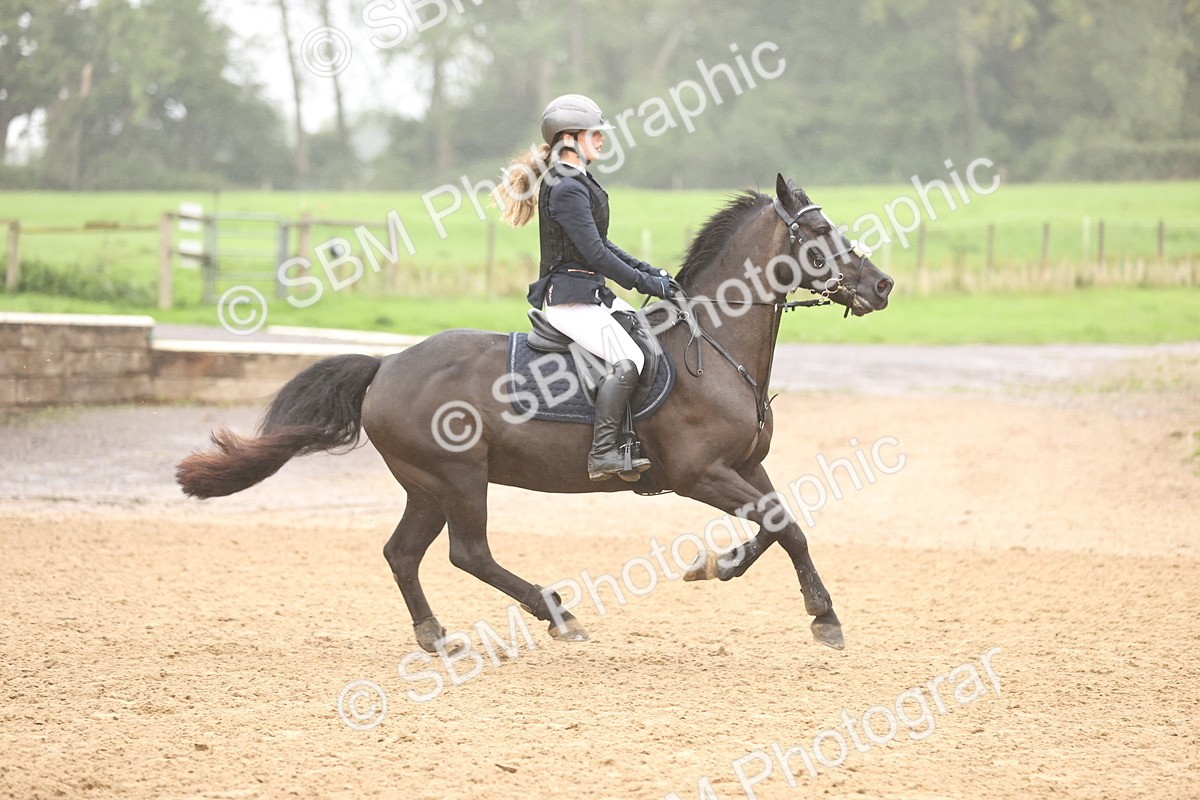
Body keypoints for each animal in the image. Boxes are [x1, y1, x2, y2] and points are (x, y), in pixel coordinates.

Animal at [176, 174, 894, 652]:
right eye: (820, 232)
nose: (882, 285)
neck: (714, 345)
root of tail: (387, 366)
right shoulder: (700, 473)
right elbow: (782, 525)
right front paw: (805, 609)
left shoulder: (746, 466)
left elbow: (783, 526)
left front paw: (745, 577)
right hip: (458, 477)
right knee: (468, 552)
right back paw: (558, 614)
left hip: (427, 485)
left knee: (403, 553)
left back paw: (436, 635)